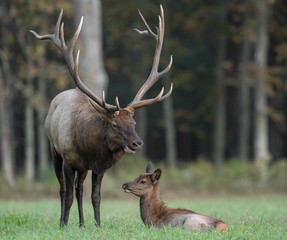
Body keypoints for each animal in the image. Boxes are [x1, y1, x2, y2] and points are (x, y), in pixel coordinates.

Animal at [30, 4, 173, 228]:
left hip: (82, 168)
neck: (87, 147)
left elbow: (95, 197)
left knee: (79, 189)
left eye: (133, 122)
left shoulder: (98, 167)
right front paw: (63, 225)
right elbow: (67, 195)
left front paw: (97, 225)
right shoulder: (68, 160)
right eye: (114, 125)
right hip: (54, 150)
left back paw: (81, 223)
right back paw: (64, 221)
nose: (138, 143)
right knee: (63, 190)